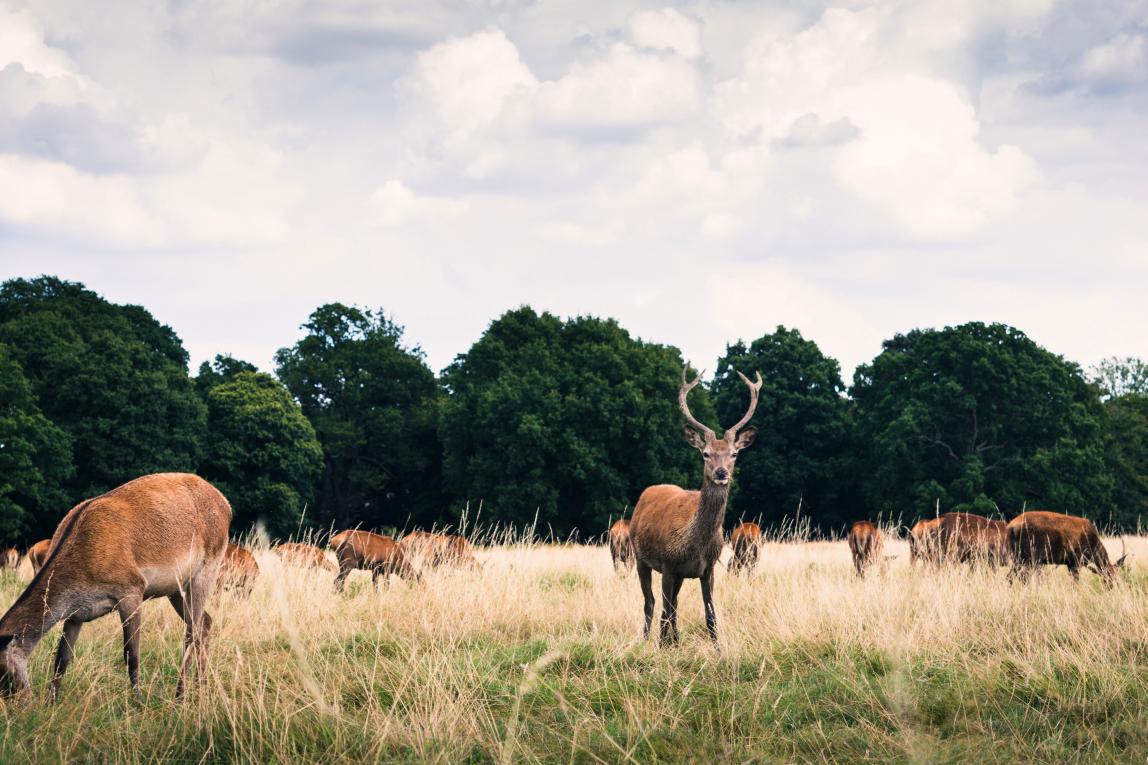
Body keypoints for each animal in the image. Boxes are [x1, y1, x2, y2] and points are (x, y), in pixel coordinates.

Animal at [0, 473, 230, 700]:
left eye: (2, 674)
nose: (20, 701)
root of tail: (226, 505)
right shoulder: (76, 614)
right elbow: (62, 659)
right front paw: (52, 702)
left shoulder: (132, 589)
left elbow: (131, 654)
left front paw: (138, 702)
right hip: (176, 588)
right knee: (205, 623)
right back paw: (202, 686)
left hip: (207, 569)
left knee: (191, 633)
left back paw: (180, 696)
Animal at [629, 366, 761, 645]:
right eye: (705, 453)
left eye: (734, 453)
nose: (721, 472)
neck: (694, 546)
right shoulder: (668, 565)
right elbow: (664, 610)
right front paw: (660, 647)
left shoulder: (708, 568)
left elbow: (709, 613)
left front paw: (717, 648)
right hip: (640, 558)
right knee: (651, 603)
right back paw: (646, 640)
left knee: (673, 605)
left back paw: (676, 640)